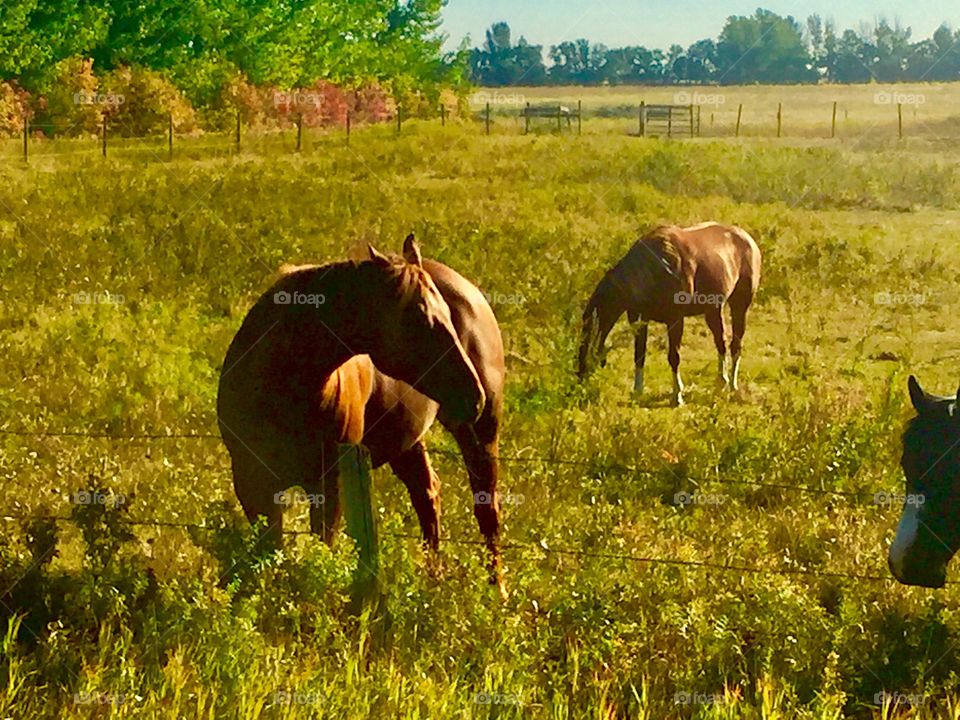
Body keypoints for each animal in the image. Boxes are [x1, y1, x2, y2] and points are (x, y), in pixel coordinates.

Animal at [217, 236, 507, 597]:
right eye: (420, 319)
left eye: (449, 318)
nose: (474, 397)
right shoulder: (251, 481)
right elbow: (269, 550)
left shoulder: (332, 483)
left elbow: (323, 547)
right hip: (407, 441)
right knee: (427, 495)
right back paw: (433, 580)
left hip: (480, 437)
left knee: (487, 510)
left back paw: (497, 592)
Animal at [577, 222, 761, 406]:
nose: (579, 383)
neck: (656, 267)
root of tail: (748, 239)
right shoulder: (639, 319)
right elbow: (639, 354)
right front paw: (637, 391)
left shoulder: (675, 319)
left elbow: (674, 356)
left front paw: (677, 396)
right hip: (713, 310)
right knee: (721, 342)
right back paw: (721, 383)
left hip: (739, 306)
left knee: (735, 344)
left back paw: (732, 386)